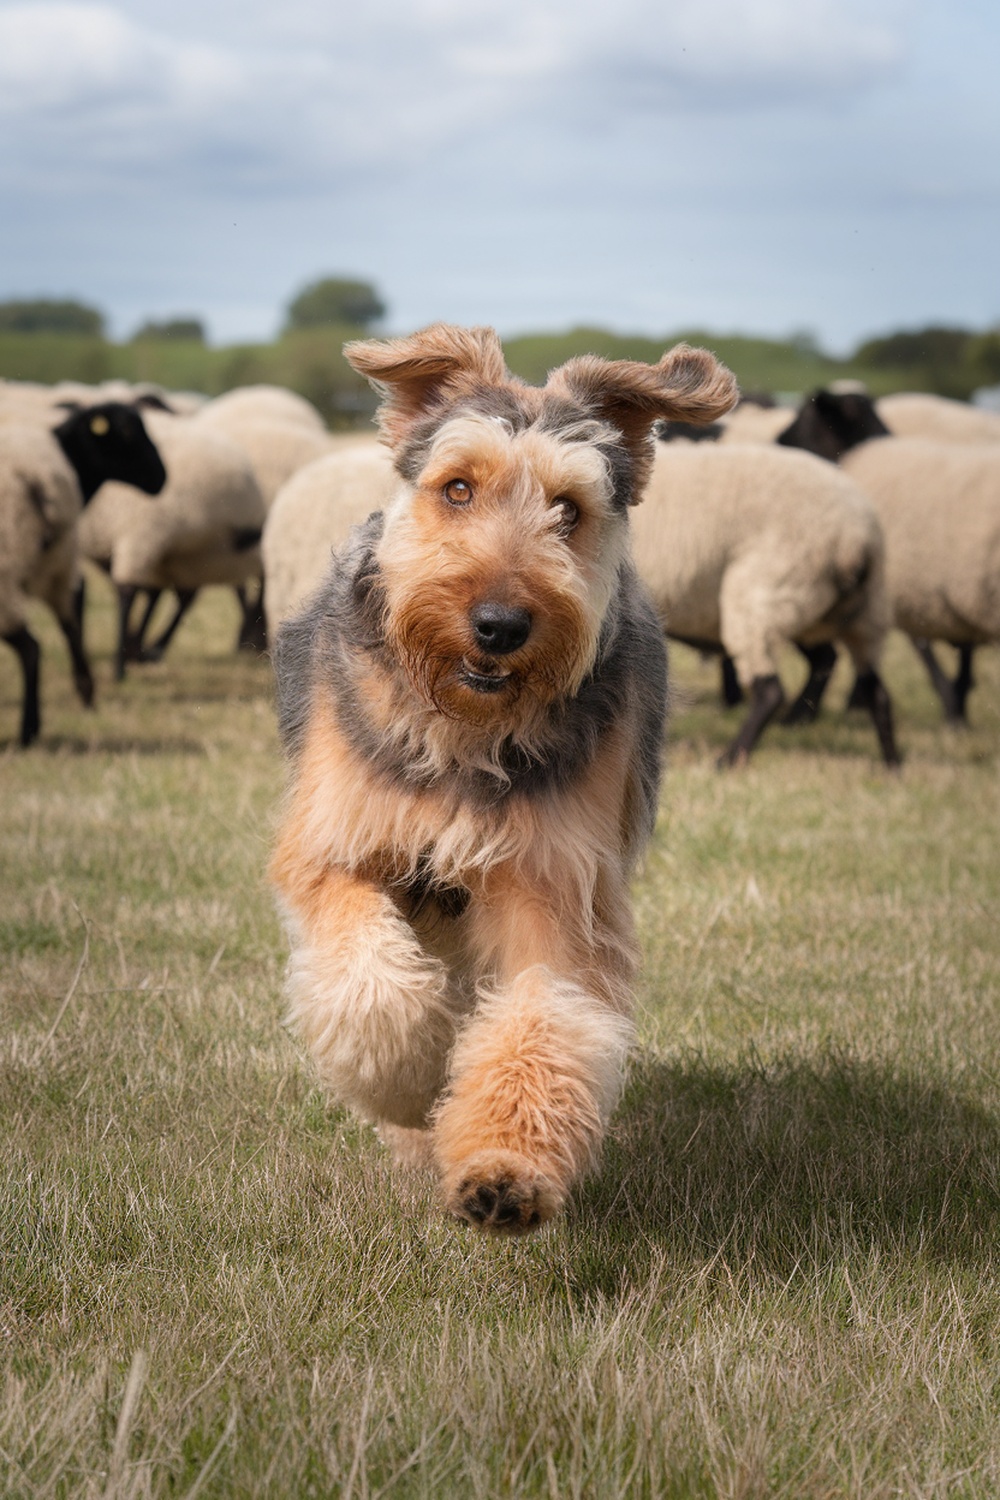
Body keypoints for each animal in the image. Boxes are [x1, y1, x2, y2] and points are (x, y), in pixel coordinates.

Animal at [0, 403, 166, 745]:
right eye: (127, 430)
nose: (162, 477)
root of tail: (39, 479)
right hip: (49, 563)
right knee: (63, 623)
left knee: (32, 645)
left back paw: (28, 731)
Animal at [78, 411, 266, 679]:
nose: (260, 645)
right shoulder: (144, 536)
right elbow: (135, 592)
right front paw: (125, 660)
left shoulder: (157, 547)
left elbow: (152, 593)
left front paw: (134, 655)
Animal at [629, 441, 899, 766]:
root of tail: (858, 540)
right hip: (850, 613)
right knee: (872, 688)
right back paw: (892, 765)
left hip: (764, 595)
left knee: (771, 691)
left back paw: (730, 759)